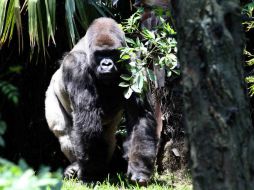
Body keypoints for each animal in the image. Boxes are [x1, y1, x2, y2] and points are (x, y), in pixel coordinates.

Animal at [44, 17, 158, 184]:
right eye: (100, 54)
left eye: (112, 53)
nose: (106, 64)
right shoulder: (76, 66)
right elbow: (86, 119)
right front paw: (91, 174)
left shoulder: (134, 64)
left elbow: (140, 116)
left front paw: (139, 169)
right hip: (51, 94)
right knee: (63, 132)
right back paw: (75, 166)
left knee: (108, 138)